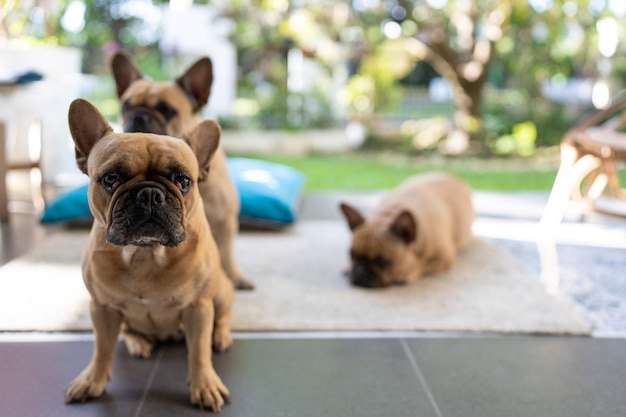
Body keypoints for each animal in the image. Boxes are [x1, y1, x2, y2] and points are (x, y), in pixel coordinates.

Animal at [338, 171, 470, 286]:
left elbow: (421, 265)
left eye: (383, 262)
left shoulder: (443, 257)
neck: (389, 214)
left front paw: (409, 272)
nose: (360, 272)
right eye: (351, 255)